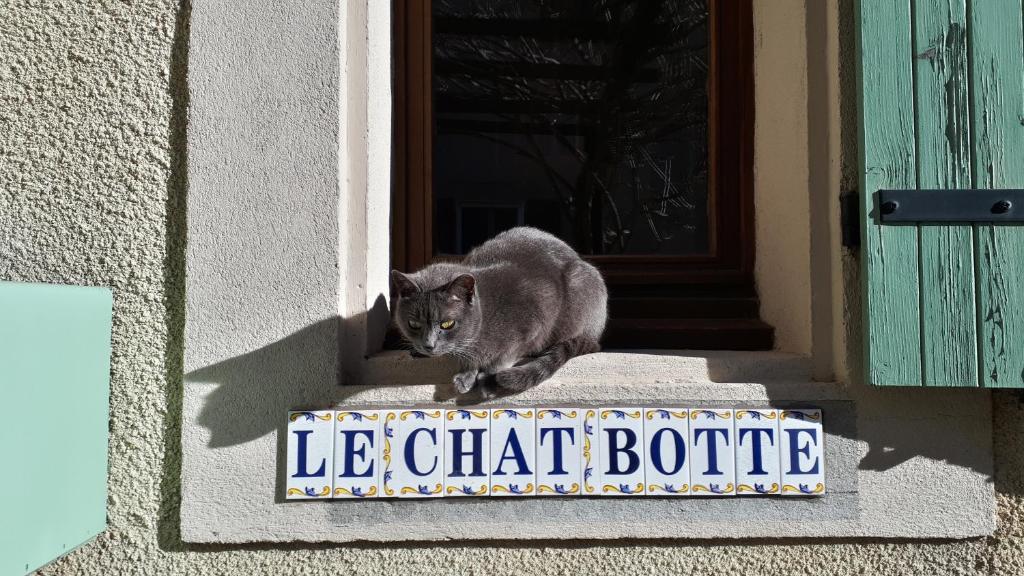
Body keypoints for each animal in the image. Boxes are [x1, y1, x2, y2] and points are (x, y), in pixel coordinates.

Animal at [387, 224, 602, 393]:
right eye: (413, 324)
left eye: (447, 324)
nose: (428, 345)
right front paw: (466, 375)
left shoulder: (536, 319)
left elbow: (507, 355)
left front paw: (486, 374)